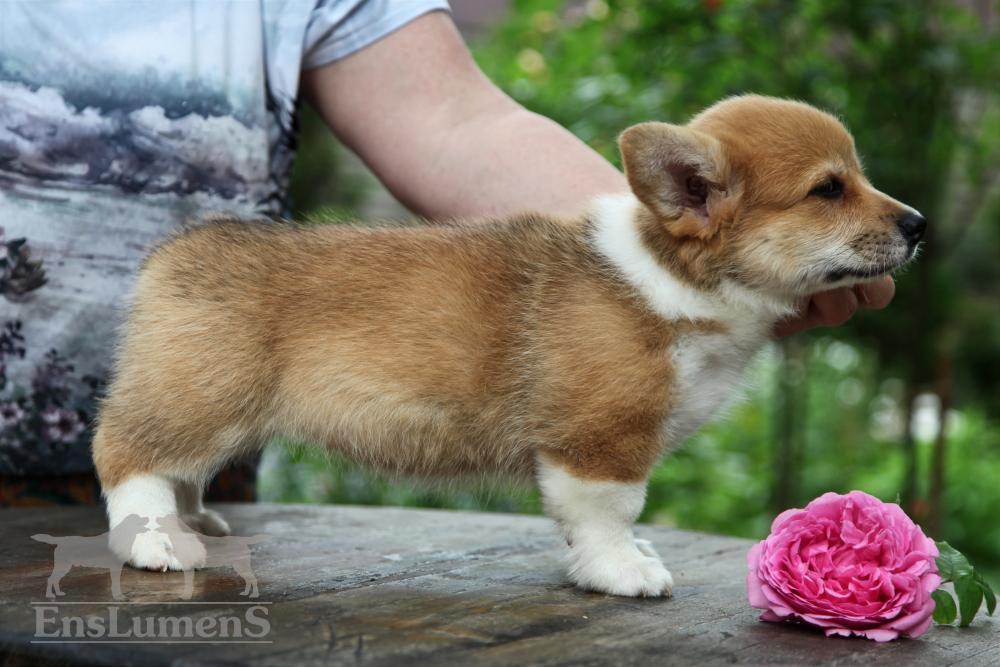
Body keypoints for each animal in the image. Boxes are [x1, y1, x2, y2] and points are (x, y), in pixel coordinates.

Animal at [92, 96, 920, 596]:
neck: (676, 274)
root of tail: (173, 253)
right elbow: (609, 513)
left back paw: (193, 519)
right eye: (828, 189)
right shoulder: (599, 441)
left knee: (177, 468)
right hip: (203, 396)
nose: (917, 225)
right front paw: (622, 570)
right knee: (127, 453)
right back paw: (157, 541)